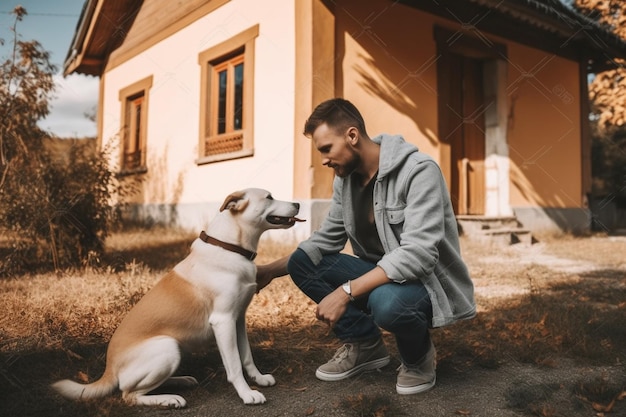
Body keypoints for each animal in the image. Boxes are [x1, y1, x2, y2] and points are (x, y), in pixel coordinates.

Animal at [50, 188, 302, 406]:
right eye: (269, 197)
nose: (299, 204)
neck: (229, 247)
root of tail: (108, 369)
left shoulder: (238, 319)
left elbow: (246, 357)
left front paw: (258, 379)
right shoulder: (223, 322)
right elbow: (234, 365)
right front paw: (247, 394)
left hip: (175, 349)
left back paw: (181, 380)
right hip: (168, 347)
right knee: (128, 394)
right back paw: (170, 399)